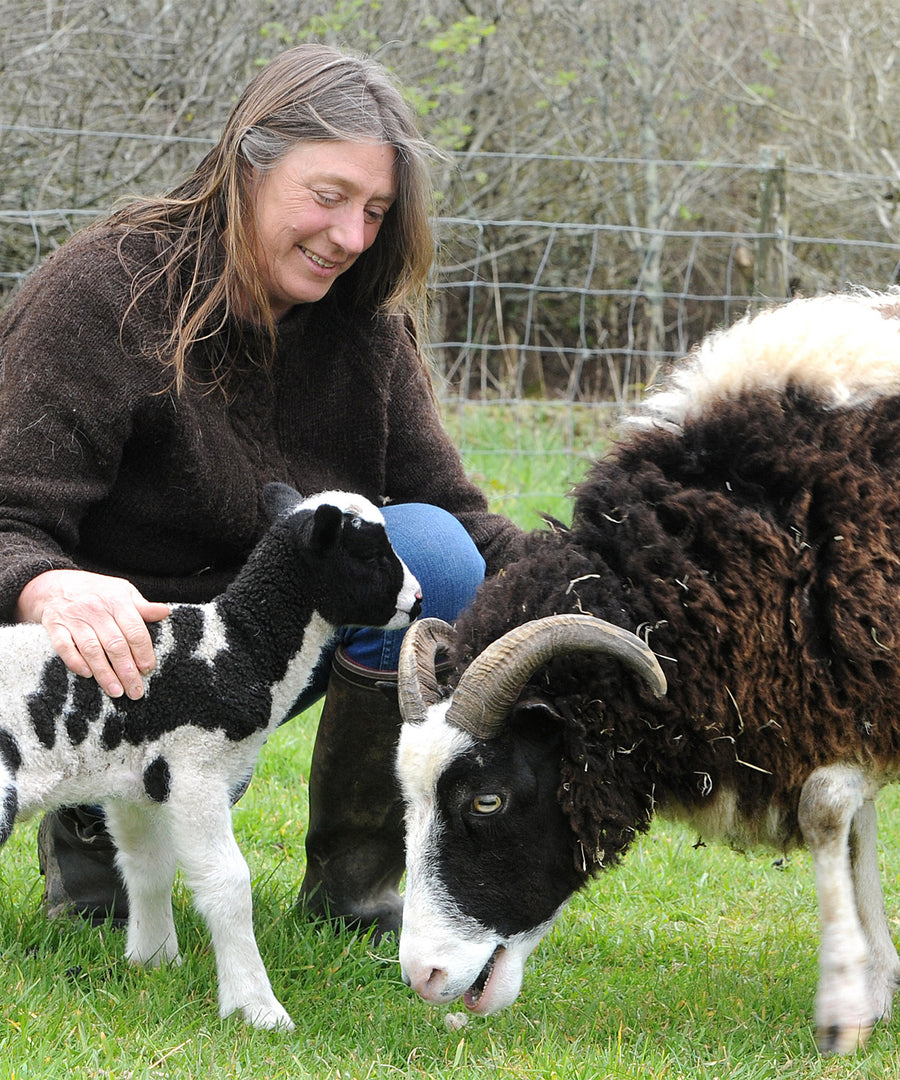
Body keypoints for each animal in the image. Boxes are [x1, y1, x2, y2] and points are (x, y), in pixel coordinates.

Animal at [0, 481, 421, 1028]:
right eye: (368, 553)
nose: (417, 601)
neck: (243, 646)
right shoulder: (196, 767)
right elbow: (228, 885)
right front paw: (256, 1007)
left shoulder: (136, 781)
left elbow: (148, 866)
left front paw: (154, 961)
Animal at [395, 289, 900, 1054]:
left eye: (487, 800)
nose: (422, 977)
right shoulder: (842, 687)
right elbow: (851, 824)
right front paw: (873, 989)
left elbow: (826, 809)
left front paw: (843, 1004)